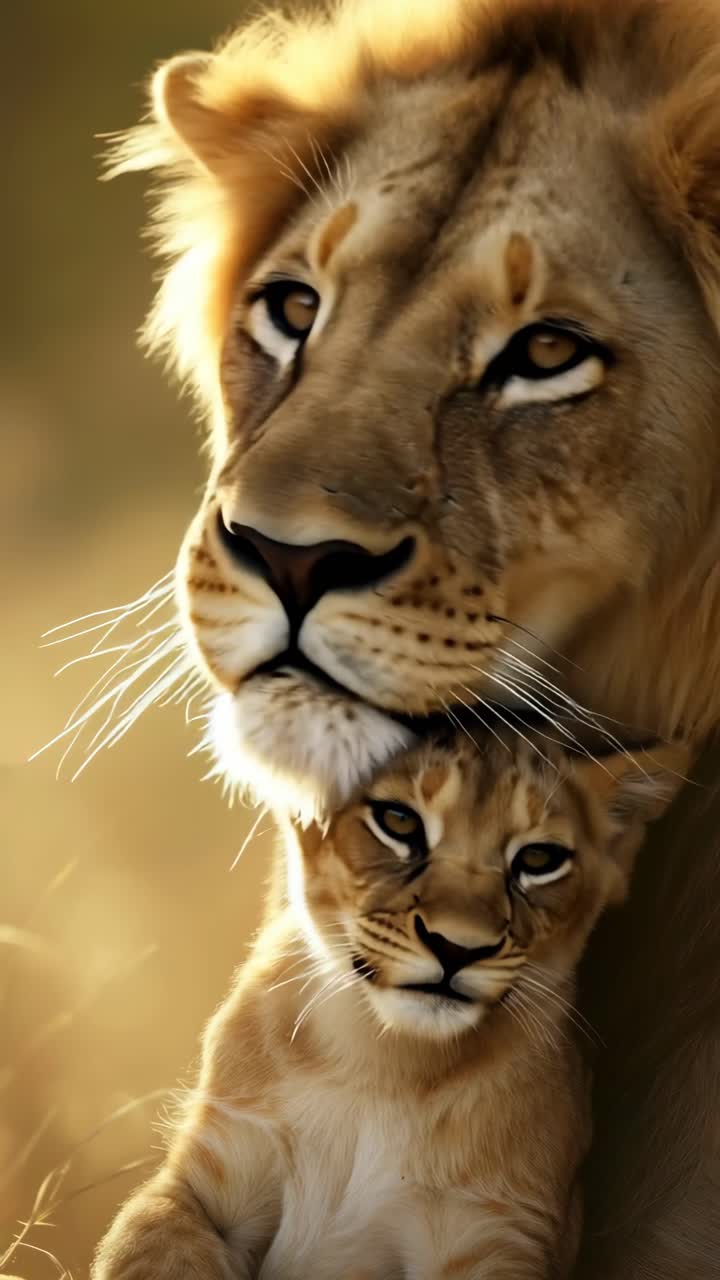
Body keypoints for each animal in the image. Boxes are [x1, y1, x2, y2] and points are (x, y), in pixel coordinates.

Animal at [100, 0, 720, 1275]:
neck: (378, 1063)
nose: (286, 556)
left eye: (546, 353)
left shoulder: (508, 1233)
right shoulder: (202, 1179)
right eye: (293, 307)